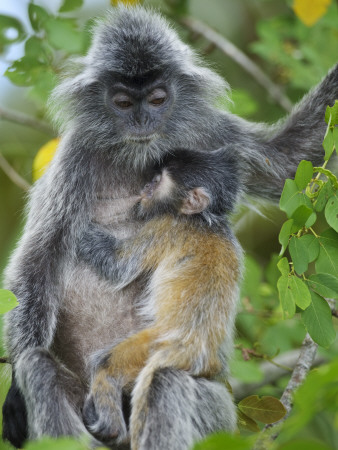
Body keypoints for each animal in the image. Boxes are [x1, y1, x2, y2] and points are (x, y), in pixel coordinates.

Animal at [2, 3, 338, 450]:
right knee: (37, 365)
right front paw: (13, 398)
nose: (143, 121)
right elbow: (38, 258)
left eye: (158, 99)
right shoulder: (76, 155)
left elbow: (293, 157)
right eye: (123, 102)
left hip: (213, 412)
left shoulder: (207, 136)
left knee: (168, 382)